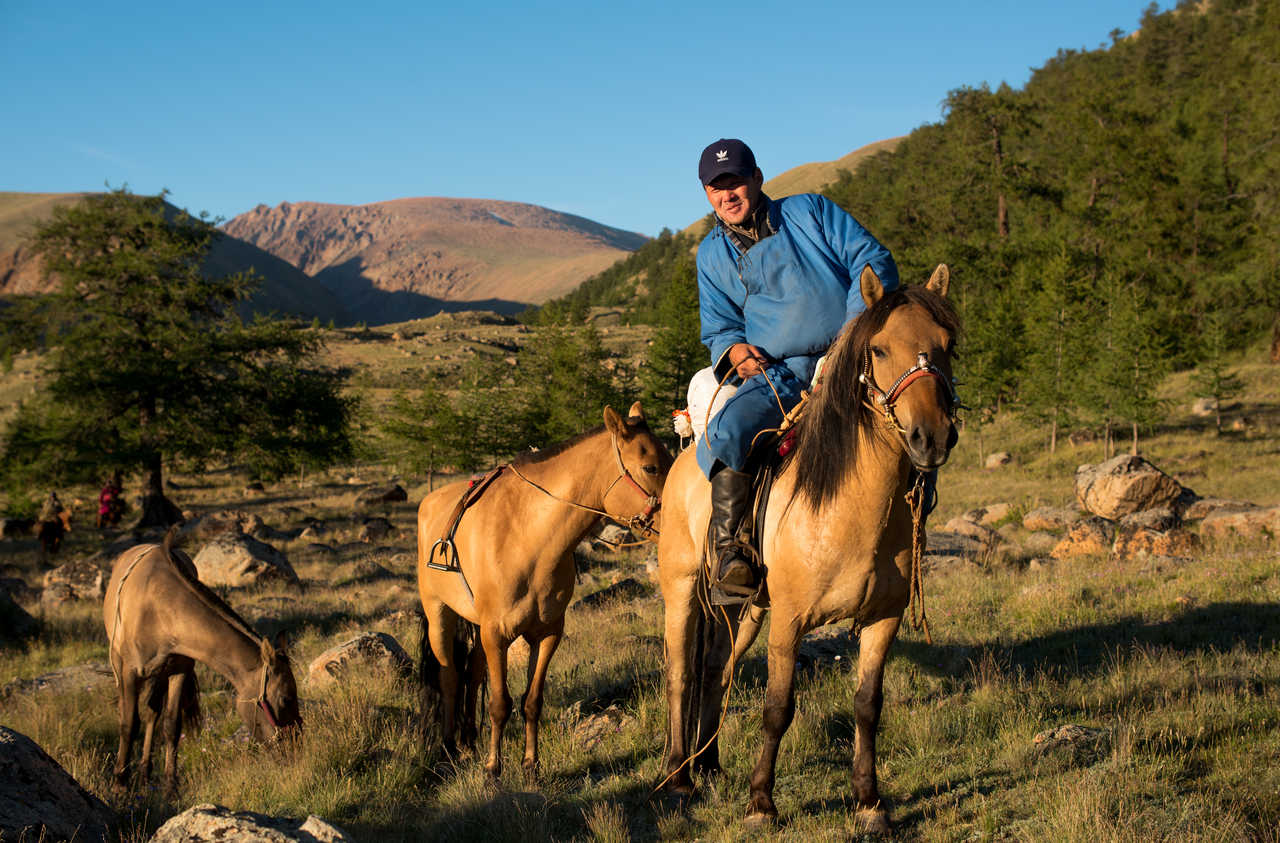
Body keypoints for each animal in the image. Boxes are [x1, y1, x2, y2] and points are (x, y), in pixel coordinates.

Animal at [103, 527, 302, 794]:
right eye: (285, 698)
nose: (297, 747)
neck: (161, 609)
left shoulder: (179, 670)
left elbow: (171, 725)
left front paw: (171, 785)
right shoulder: (129, 673)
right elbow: (128, 724)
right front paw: (120, 785)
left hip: (161, 674)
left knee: (153, 712)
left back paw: (145, 774)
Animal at [416, 402, 672, 779]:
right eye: (651, 466)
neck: (529, 538)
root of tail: (429, 501)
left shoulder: (547, 633)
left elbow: (531, 701)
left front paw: (530, 763)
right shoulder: (497, 634)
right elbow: (499, 702)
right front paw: (493, 768)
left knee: (472, 674)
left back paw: (469, 740)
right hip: (440, 615)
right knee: (449, 676)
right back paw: (449, 747)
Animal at [657, 265, 960, 831]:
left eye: (947, 345)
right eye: (879, 350)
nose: (930, 437)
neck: (851, 508)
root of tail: (688, 453)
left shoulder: (882, 619)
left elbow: (868, 704)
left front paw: (869, 801)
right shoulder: (791, 621)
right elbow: (778, 709)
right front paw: (761, 803)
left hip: (745, 609)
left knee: (716, 670)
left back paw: (708, 765)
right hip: (682, 591)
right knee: (681, 673)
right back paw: (679, 776)